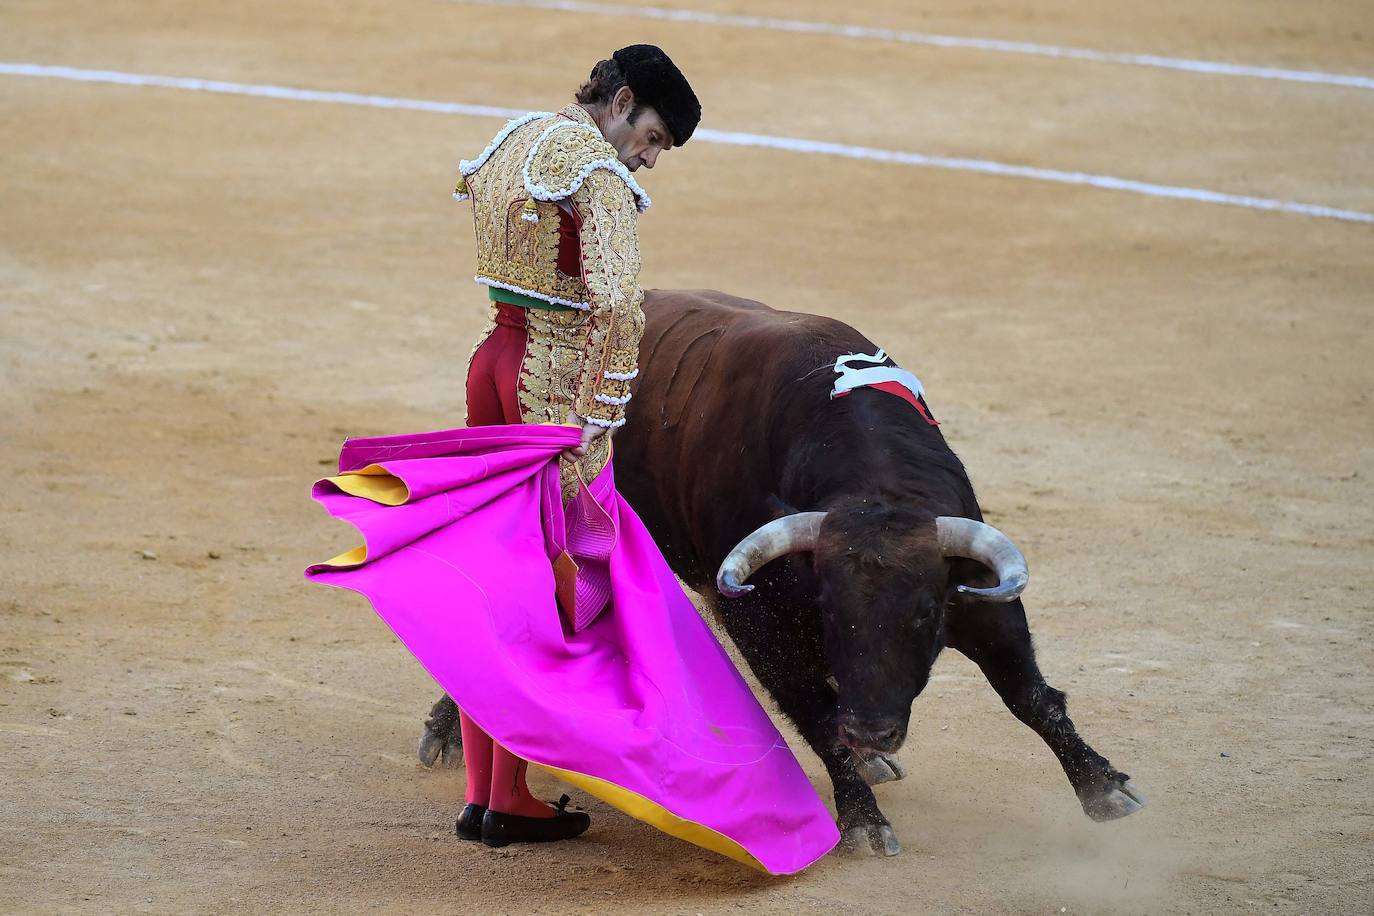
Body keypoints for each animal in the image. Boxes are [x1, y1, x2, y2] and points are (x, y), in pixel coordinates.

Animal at [420, 289, 1148, 856]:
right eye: (826, 608)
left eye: (923, 614)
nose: (873, 730)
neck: (873, 484)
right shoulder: (756, 617)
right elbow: (815, 712)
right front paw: (863, 824)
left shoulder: (975, 592)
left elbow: (1031, 695)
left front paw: (1105, 789)